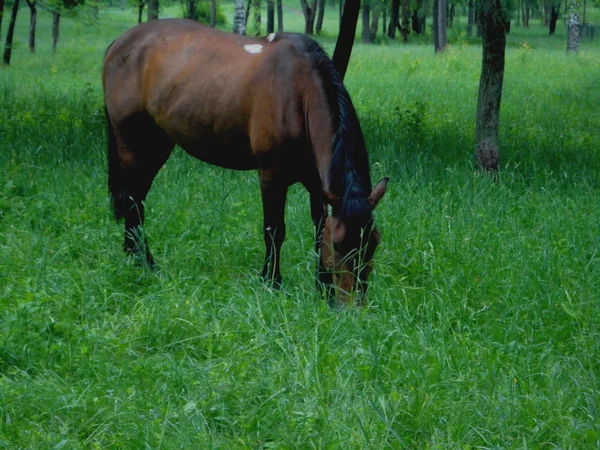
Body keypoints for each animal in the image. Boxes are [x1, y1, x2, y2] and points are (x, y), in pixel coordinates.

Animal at [102, 19, 390, 304]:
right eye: (339, 244)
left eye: (374, 242)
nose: (353, 305)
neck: (298, 94)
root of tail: (119, 43)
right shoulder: (271, 174)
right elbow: (274, 230)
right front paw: (272, 282)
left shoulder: (317, 182)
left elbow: (319, 229)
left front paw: (322, 288)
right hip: (130, 143)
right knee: (132, 199)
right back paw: (143, 260)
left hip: (156, 144)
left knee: (137, 198)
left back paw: (136, 255)